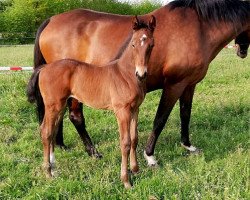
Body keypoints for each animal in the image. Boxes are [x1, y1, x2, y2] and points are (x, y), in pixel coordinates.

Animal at [27, 16, 156, 189]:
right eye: (134, 44)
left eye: (151, 45)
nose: (141, 74)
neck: (125, 74)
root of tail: (44, 68)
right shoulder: (122, 111)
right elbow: (125, 142)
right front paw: (126, 181)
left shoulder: (135, 109)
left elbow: (134, 138)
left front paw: (135, 170)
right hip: (53, 105)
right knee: (46, 132)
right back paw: (48, 173)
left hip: (60, 105)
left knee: (51, 130)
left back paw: (53, 169)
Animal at [34, 0, 249, 166]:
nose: (242, 51)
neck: (198, 27)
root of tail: (51, 20)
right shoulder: (174, 85)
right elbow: (160, 119)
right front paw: (150, 155)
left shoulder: (189, 84)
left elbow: (185, 114)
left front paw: (188, 145)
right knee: (75, 117)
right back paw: (92, 152)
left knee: (59, 116)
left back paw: (60, 145)